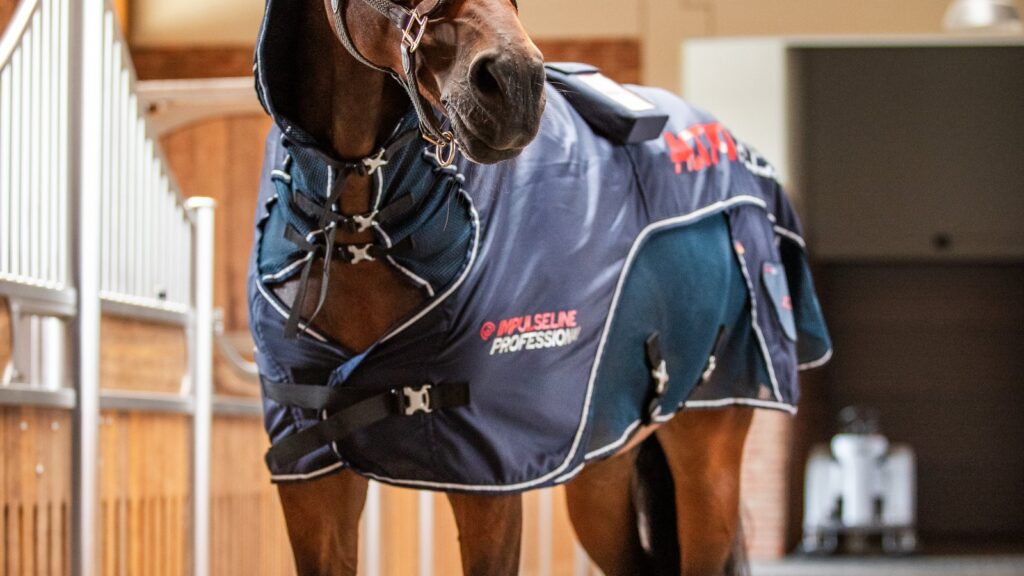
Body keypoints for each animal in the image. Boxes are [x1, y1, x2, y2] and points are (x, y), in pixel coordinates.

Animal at [246, 0, 831, 574]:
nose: (517, 85)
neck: (358, 224)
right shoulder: (312, 476)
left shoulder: (491, 479)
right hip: (603, 468)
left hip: (708, 459)